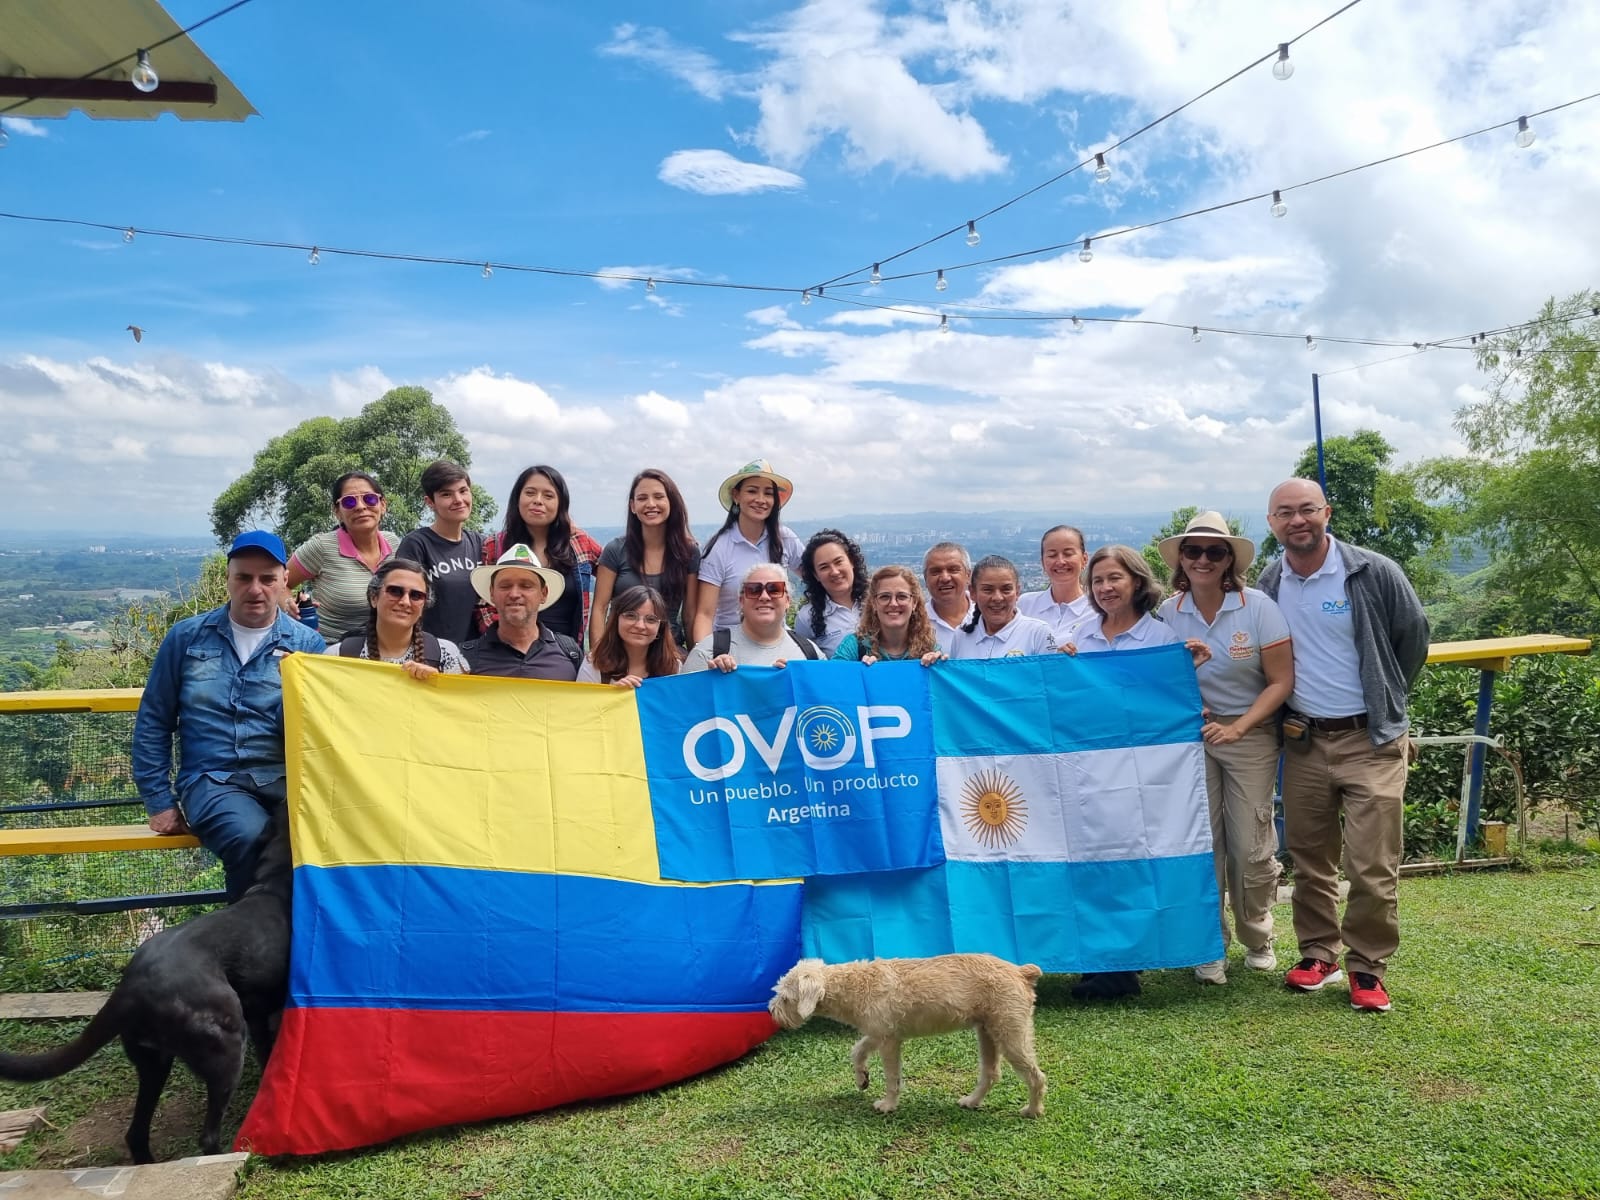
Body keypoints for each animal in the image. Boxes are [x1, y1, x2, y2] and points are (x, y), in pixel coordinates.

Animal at [0, 809, 294, 1164]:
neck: (273, 883)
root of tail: (130, 987)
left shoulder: (260, 1015)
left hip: (154, 1062)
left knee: (136, 1133)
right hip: (226, 1048)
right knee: (207, 1136)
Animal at [764, 960, 1043, 1120]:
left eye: (786, 998)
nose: (770, 1011)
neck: (853, 984)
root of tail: (1022, 972)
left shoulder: (889, 1042)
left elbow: (892, 1078)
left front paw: (888, 1105)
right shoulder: (878, 1033)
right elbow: (857, 1051)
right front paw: (862, 1078)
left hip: (1012, 1036)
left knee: (1036, 1076)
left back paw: (1033, 1111)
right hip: (987, 1033)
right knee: (991, 1074)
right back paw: (972, 1101)